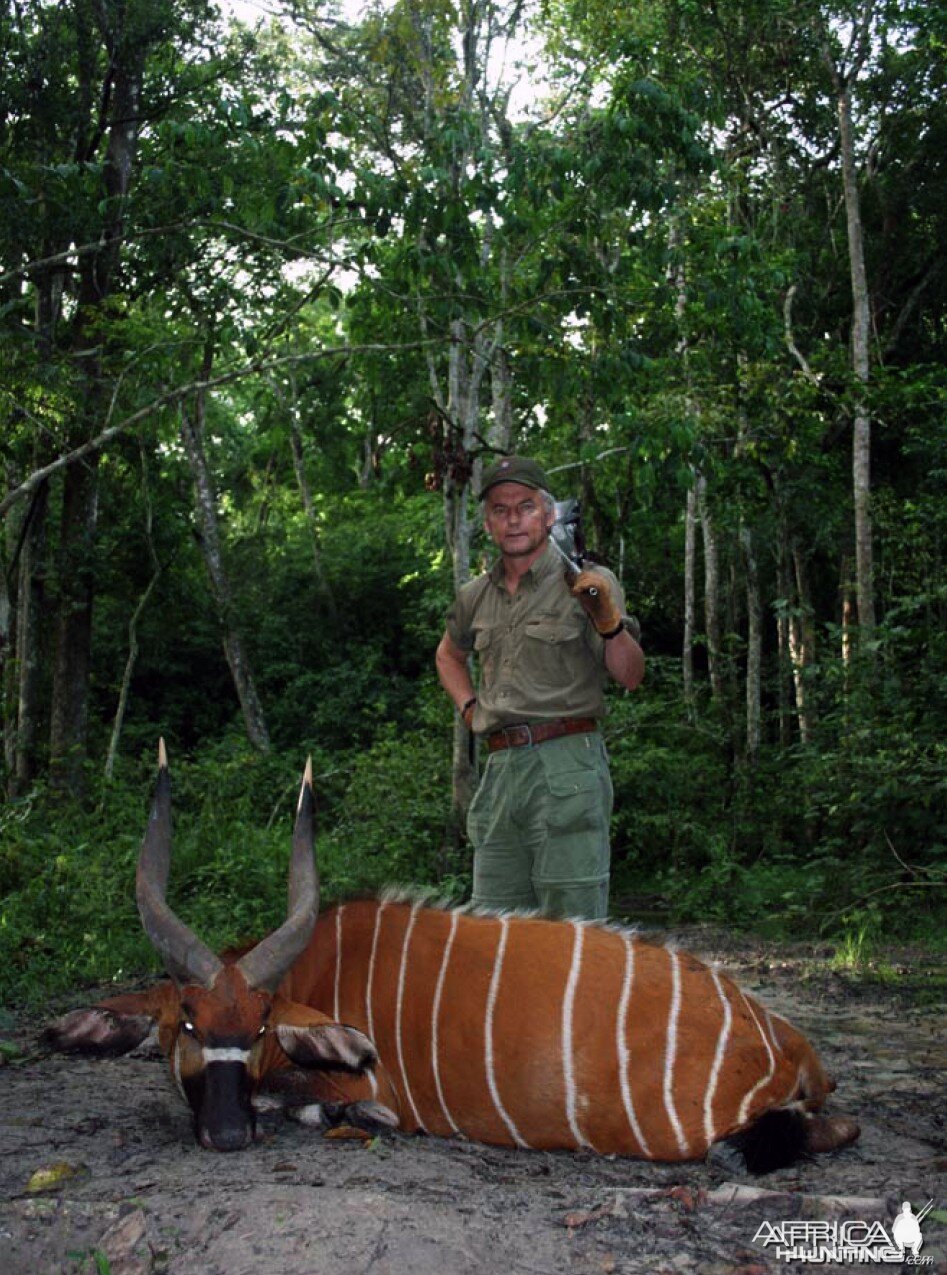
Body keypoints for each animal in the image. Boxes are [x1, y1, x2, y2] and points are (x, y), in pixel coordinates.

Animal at [44, 744, 861, 1173]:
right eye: (184, 1021)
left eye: (263, 1026)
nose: (226, 1133)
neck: (320, 967)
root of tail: (791, 1041)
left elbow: (318, 1098)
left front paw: (346, 1109)